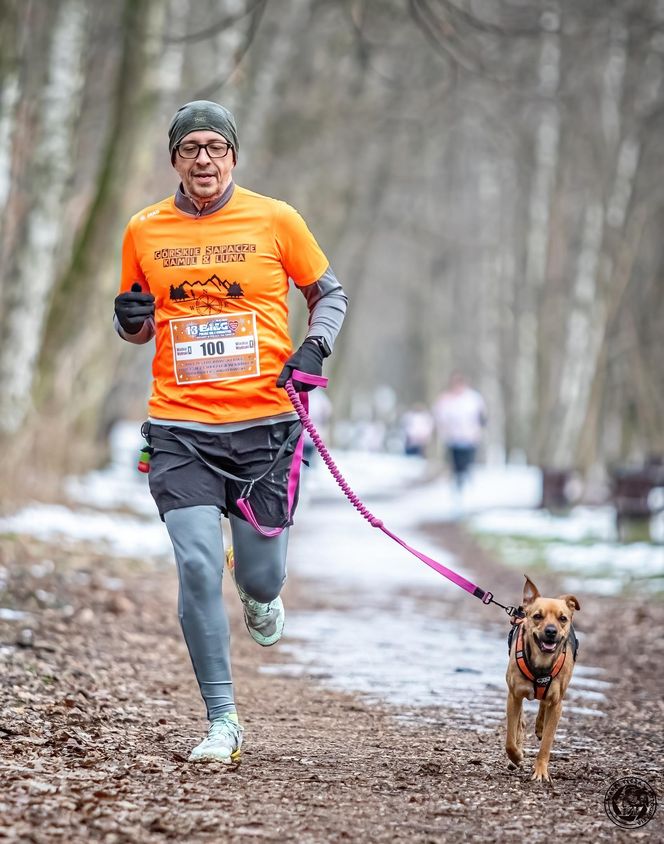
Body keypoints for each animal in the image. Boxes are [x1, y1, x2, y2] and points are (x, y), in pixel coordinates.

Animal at [506, 576, 580, 780]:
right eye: (537, 616)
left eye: (562, 618)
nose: (551, 631)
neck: (541, 662)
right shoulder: (514, 696)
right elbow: (510, 739)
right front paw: (516, 756)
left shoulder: (557, 704)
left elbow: (546, 742)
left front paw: (540, 771)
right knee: (520, 723)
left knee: (543, 705)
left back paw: (539, 725)